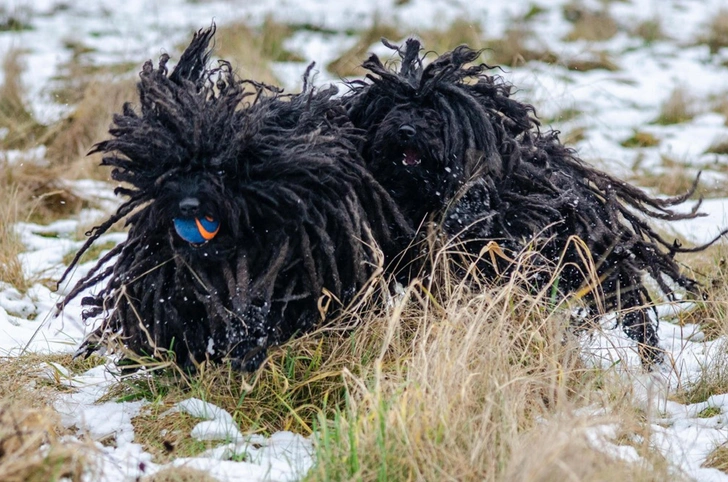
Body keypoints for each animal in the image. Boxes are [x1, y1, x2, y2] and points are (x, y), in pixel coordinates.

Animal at [344, 39, 724, 366]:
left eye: (434, 111)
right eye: (392, 107)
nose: (406, 130)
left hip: (597, 261)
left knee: (633, 310)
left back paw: (652, 363)